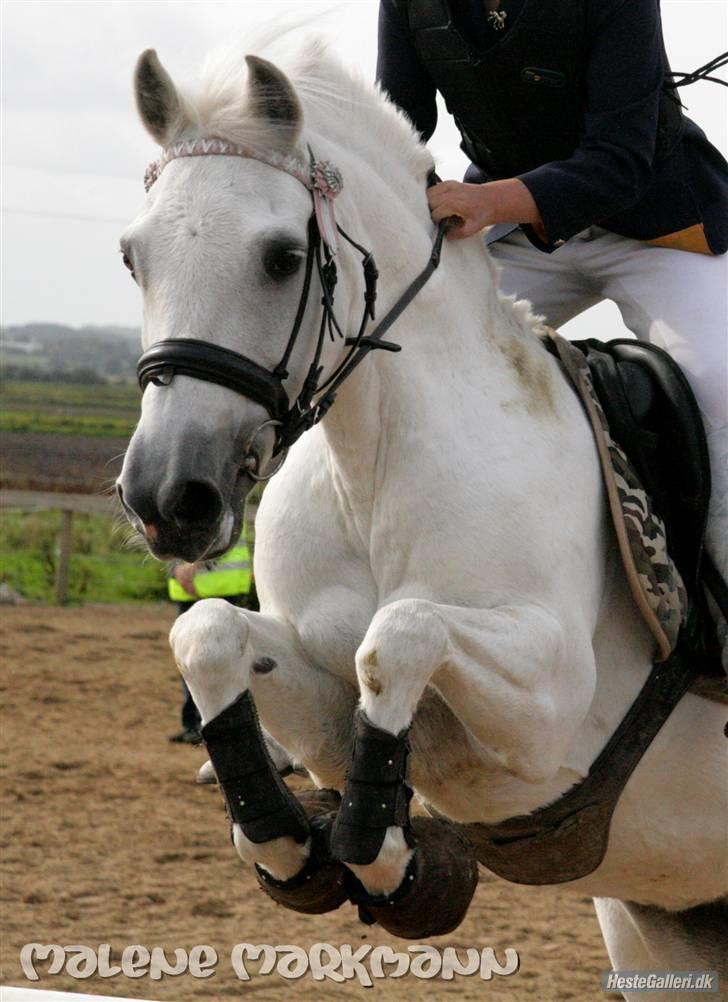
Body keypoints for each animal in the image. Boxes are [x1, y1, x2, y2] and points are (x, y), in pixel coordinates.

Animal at [117, 39, 727, 999]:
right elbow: (208, 632)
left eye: (281, 258)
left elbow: (399, 634)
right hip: (667, 924)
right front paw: (291, 846)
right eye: (132, 258)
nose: (167, 499)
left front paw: (388, 856)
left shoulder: (553, 709)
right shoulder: (313, 673)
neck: (373, 469)